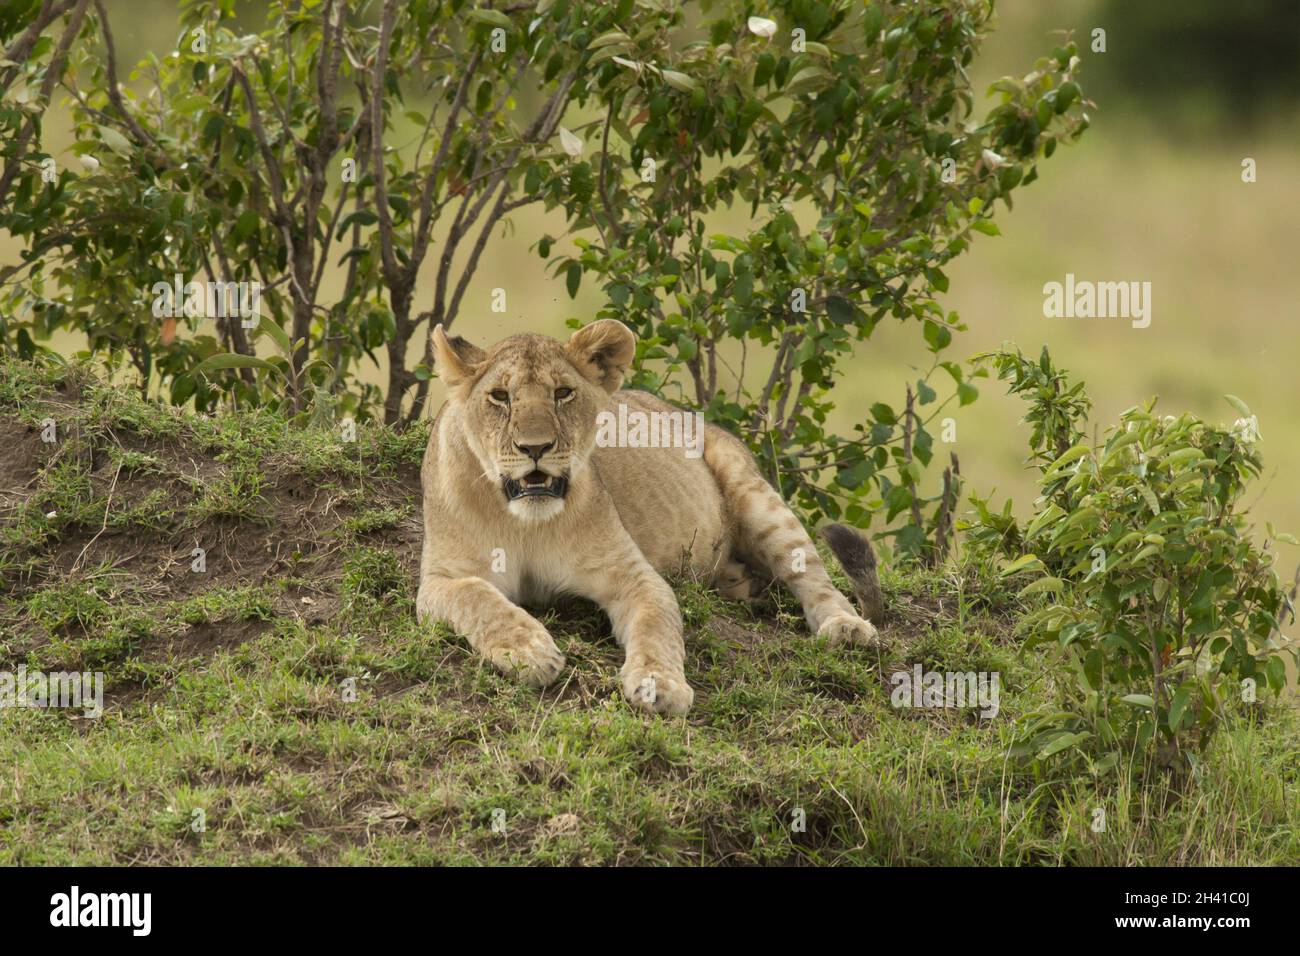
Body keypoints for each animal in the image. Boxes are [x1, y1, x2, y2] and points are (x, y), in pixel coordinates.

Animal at [416, 319, 884, 715]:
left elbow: (655, 628)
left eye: (563, 393)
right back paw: (741, 583)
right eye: (500, 396)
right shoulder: (440, 580)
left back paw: (845, 626)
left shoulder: (635, 576)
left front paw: (660, 684)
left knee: (814, 576)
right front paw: (530, 651)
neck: (526, 522)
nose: (536, 447)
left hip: (755, 493)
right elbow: (478, 597)